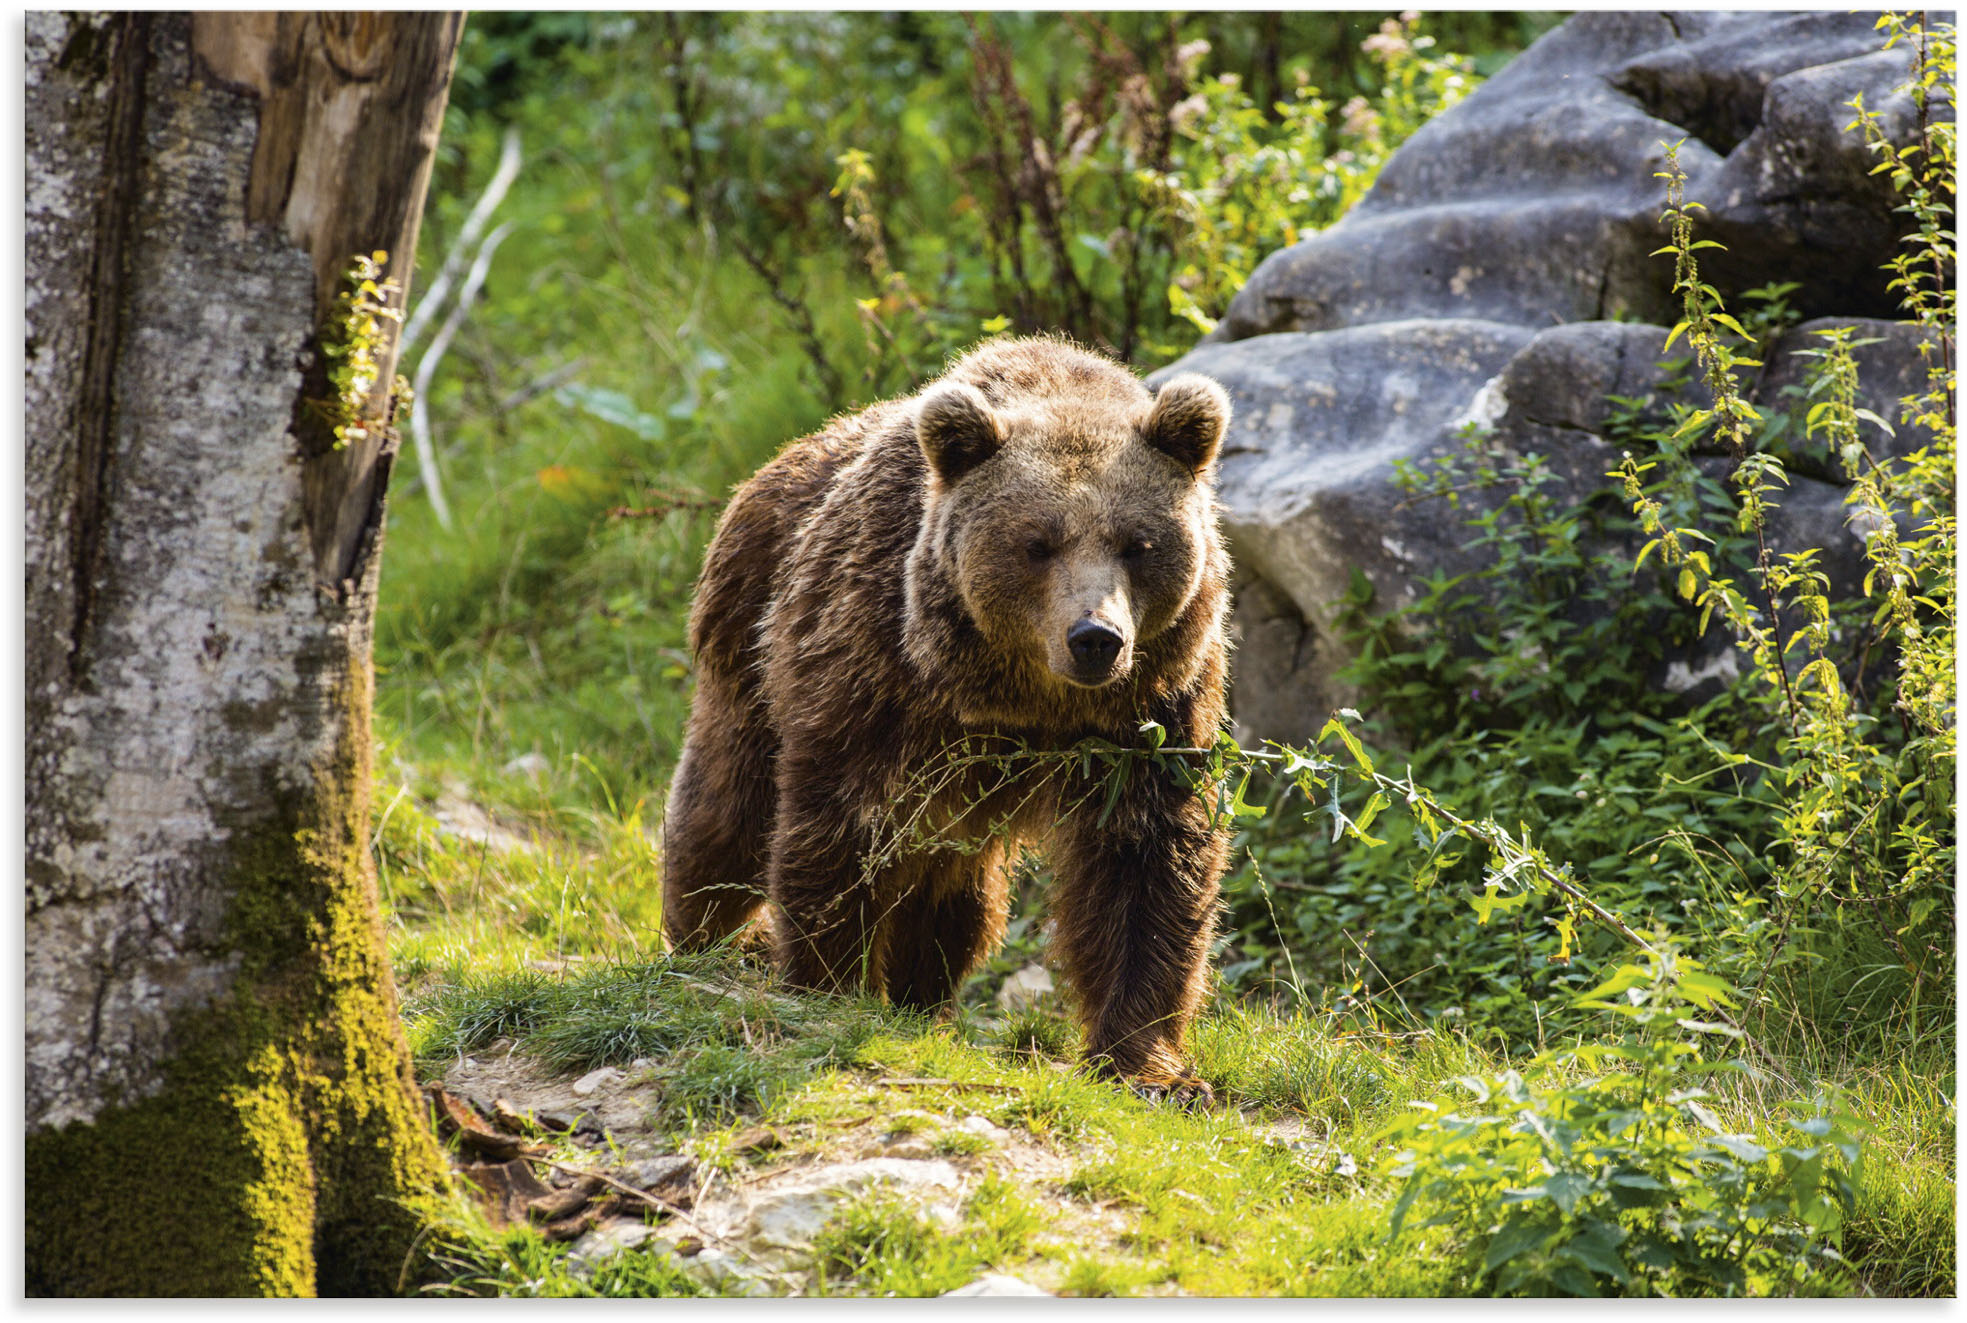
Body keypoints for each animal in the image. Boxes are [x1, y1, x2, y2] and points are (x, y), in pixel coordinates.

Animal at [668, 336, 1235, 1100]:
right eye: (1037, 542)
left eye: (1137, 543)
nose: (1095, 637)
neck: (1026, 697)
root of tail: (775, 463)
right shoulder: (876, 674)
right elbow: (839, 830)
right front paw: (829, 985)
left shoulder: (1154, 709)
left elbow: (1145, 862)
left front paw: (1146, 1063)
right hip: (748, 645)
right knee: (725, 813)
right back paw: (702, 939)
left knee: (958, 897)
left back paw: (924, 996)